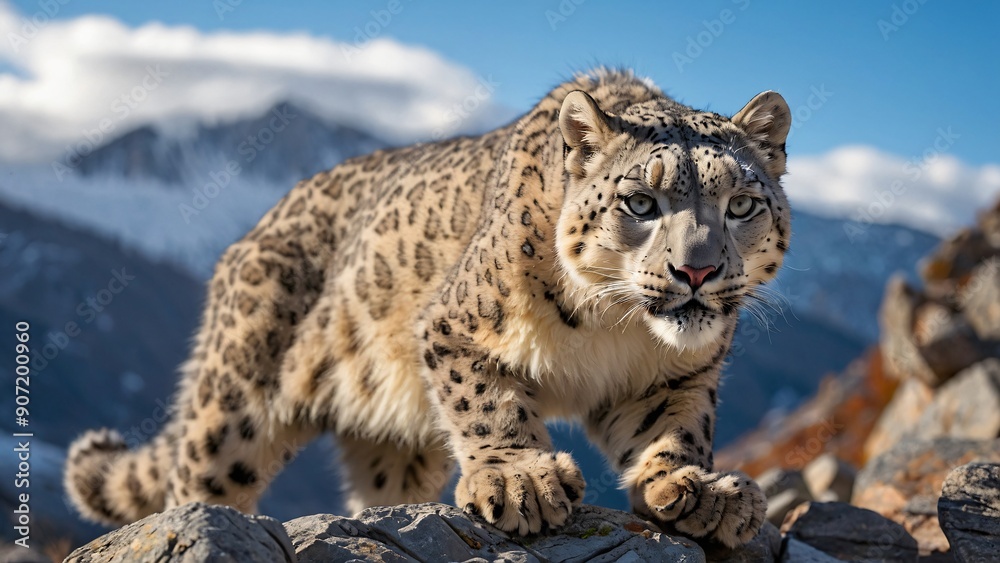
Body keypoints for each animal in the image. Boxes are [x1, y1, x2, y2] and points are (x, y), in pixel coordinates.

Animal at [65, 68, 792, 548]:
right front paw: (523, 480)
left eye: (741, 204)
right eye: (641, 201)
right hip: (234, 399)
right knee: (203, 479)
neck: (620, 329)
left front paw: (700, 488)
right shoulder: (454, 326)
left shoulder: (678, 374)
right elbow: (489, 404)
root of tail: (251, 234)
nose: (696, 270)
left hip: (397, 445)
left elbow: (676, 426)